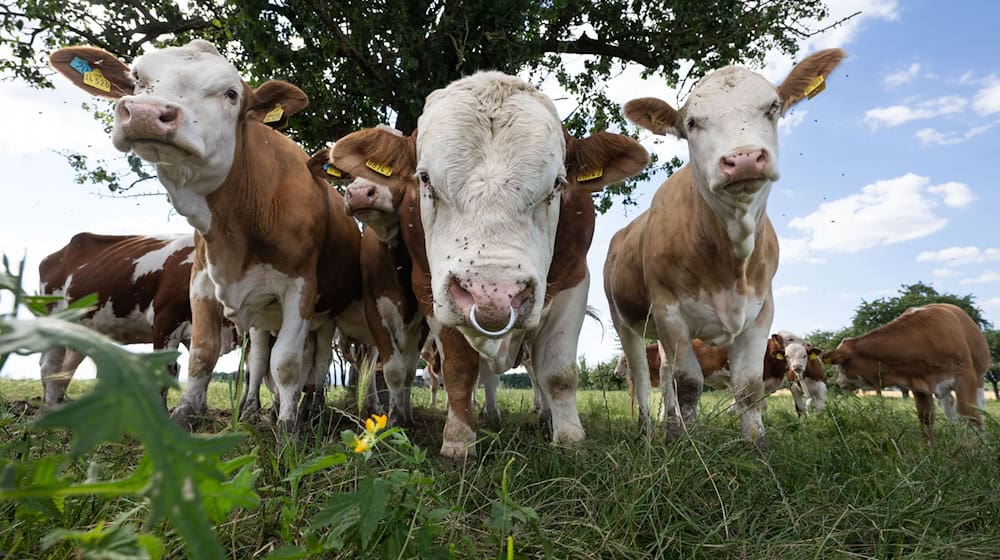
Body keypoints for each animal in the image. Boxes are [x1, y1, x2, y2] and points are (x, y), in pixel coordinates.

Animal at [38, 232, 237, 406]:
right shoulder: (165, 319)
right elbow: (166, 370)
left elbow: (201, 367)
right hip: (55, 322)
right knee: (50, 367)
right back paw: (51, 408)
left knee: (65, 368)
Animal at [330, 70, 648, 458]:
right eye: (424, 178)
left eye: (557, 184)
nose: (493, 295)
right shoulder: (429, 292)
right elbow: (457, 370)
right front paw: (458, 440)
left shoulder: (574, 281)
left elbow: (558, 373)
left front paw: (570, 438)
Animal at [604, 49, 848, 450]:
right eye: (691, 123)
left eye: (773, 107)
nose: (744, 158)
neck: (729, 252)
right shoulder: (670, 311)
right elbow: (689, 385)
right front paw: (688, 446)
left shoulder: (761, 313)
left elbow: (747, 389)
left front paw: (757, 448)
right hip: (627, 321)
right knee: (642, 375)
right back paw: (648, 432)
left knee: (665, 372)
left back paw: (671, 427)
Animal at [820, 304, 992, 440]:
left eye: (840, 367)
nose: (838, 382)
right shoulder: (918, 385)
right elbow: (926, 418)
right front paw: (930, 450)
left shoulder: (965, 377)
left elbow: (970, 414)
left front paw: (977, 451)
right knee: (948, 407)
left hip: (978, 378)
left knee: (979, 408)